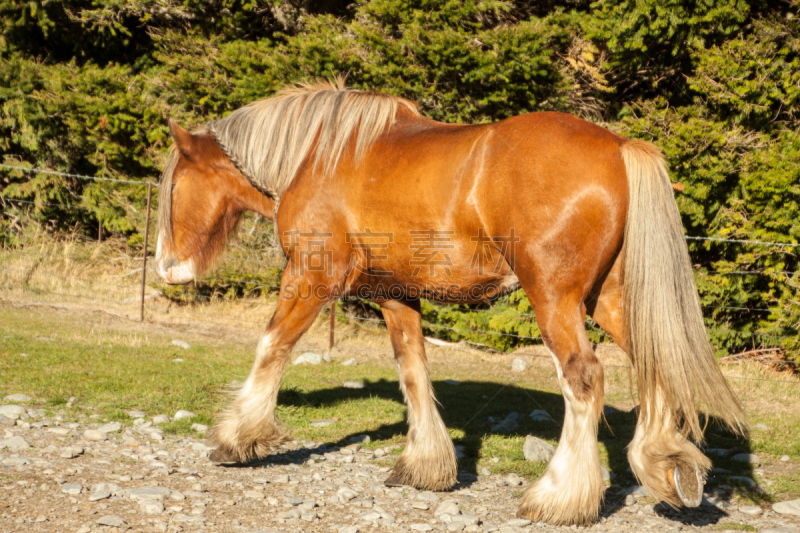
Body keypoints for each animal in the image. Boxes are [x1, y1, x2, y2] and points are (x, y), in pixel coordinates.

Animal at [155, 78, 744, 524]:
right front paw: (426, 466)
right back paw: (669, 469)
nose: (166, 266)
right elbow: (413, 371)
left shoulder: (309, 277)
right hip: (609, 298)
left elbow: (272, 347)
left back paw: (558, 497)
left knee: (584, 378)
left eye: (174, 185)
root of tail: (619, 147)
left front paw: (236, 438)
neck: (318, 156)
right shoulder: (395, 296)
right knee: (653, 362)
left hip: (555, 299)